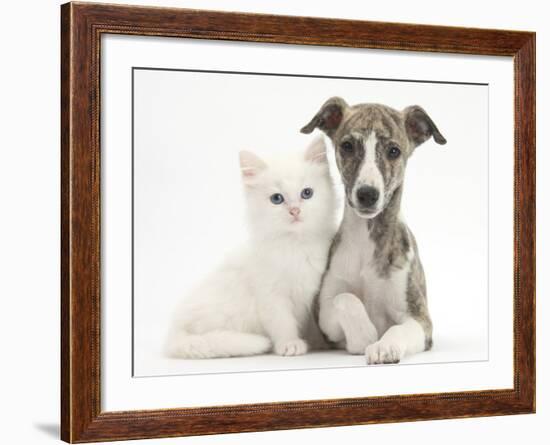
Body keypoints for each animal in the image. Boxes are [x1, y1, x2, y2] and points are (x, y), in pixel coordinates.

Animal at [165, 137, 336, 360]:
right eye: (277, 199)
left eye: (307, 193)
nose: (295, 211)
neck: (295, 244)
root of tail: (173, 334)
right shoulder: (270, 295)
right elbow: (282, 322)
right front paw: (290, 344)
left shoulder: (311, 295)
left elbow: (312, 324)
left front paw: (318, 343)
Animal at [302, 95, 448, 362]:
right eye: (347, 145)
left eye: (394, 151)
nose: (367, 194)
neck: (367, 240)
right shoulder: (324, 314)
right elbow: (345, 299)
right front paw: (365, 336)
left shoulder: (420, 319)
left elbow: (397, 329)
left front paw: (384, 346)